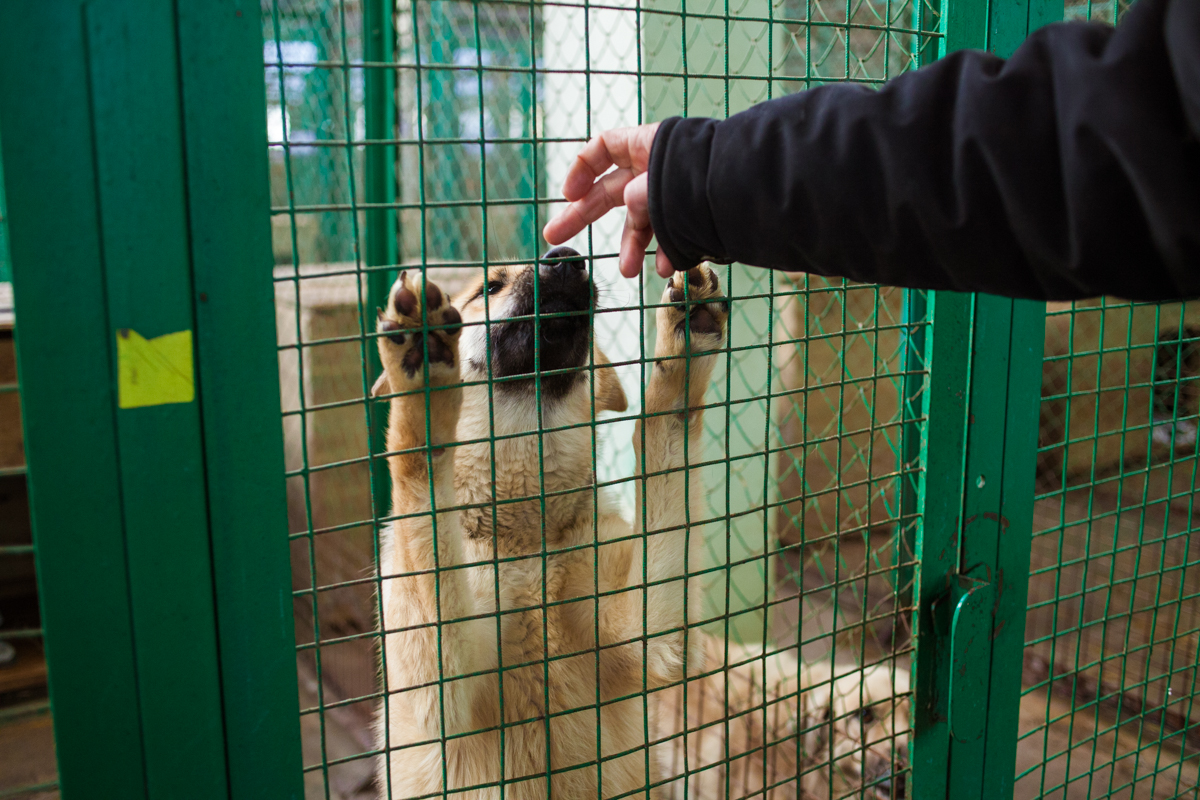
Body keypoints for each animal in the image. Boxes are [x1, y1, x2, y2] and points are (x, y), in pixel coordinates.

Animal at [369, 247, 902, 796]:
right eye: (488, 288)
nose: (566, 256)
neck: (525, 536)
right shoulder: (440, 692)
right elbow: (416, 469)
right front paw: (421, 385)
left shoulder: (658, 634)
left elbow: (662, 430)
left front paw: (681, 349)